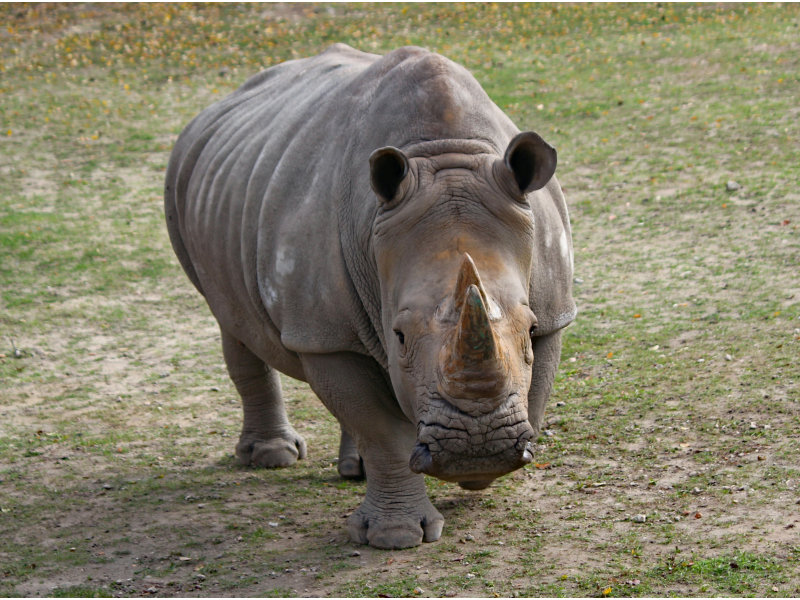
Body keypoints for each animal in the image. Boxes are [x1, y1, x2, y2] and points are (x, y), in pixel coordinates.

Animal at [165, 44, 576, 549]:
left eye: (530, 328)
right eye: (399, 336)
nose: (475, 447)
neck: (443, 153)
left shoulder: (555, 308)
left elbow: (533, 390)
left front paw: (479, 473)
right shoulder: (321, 335)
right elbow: (379, 429)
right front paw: (395, 537)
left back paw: (353, 471)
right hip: (186, 189)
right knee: (232, 323)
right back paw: (273, 457)